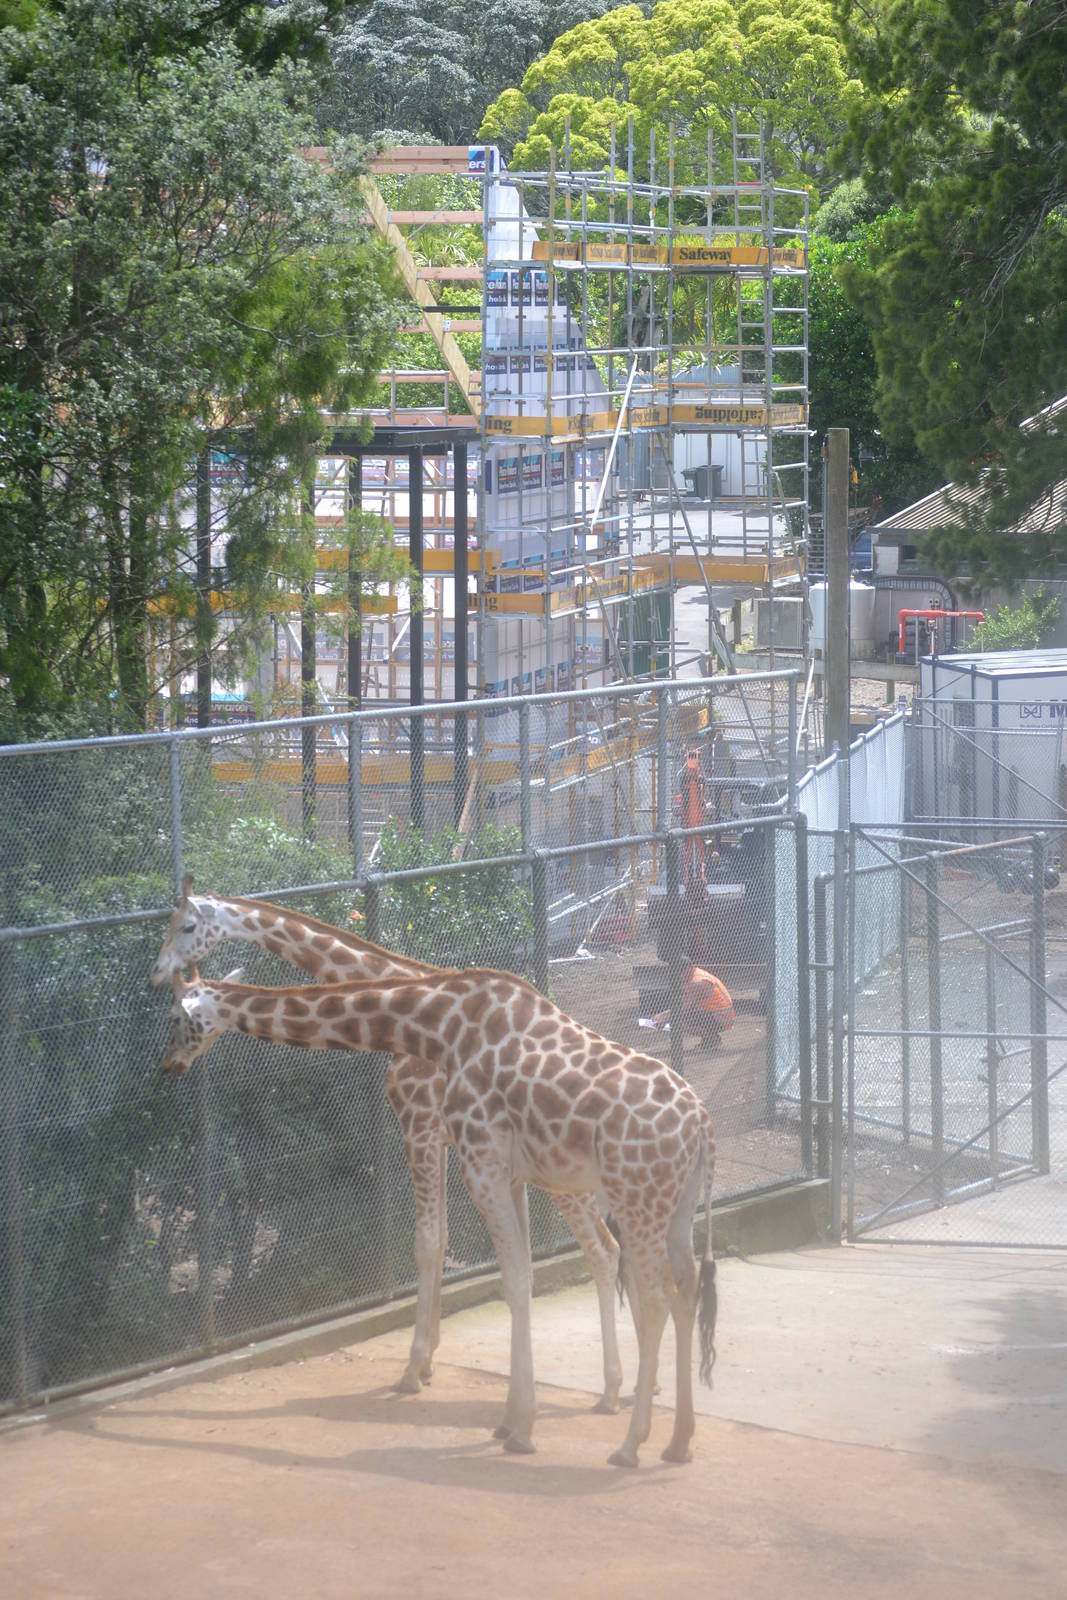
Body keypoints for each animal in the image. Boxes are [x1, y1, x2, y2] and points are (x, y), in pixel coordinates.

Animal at [150, 881, 626, 1409]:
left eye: (187, 926)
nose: (155, 973)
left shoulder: (418, 1125)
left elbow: (427, 1244)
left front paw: (414, 1368)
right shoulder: (445, 1140)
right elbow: (446, 1243)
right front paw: (431, 1359)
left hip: (563, 1176)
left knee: (603, 1248)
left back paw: (612, 1388)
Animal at [161, 964, 717, 1467]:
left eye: (174, 1016)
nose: (168, 1064)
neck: (436, 1027)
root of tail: (702, 1125)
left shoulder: (476, 1159)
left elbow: (510, 1280)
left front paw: (519, 1428)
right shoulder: (505, 1171)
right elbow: (516, 1278)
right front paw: (509, 1421)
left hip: (636, 1197)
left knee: (653, 1296)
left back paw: (630, 1445)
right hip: (674, 1208)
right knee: (685, 1289)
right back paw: (678, 1442)